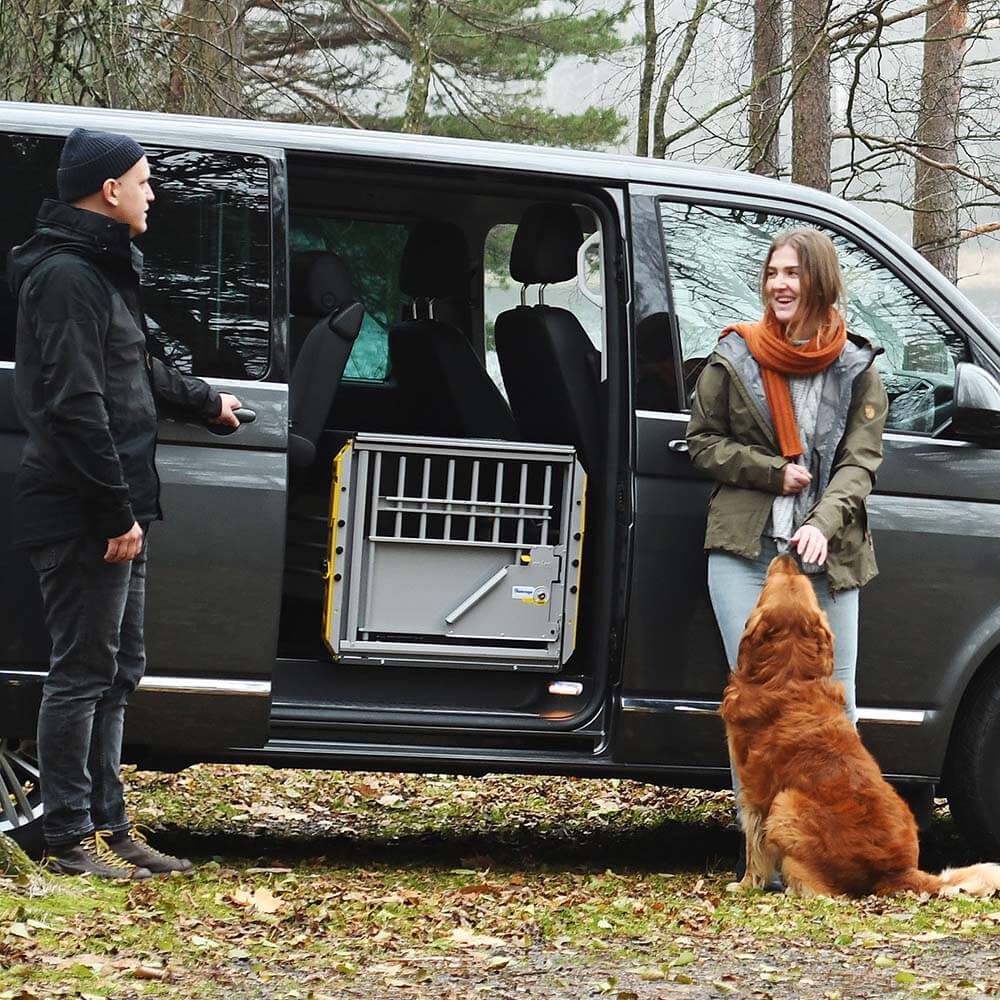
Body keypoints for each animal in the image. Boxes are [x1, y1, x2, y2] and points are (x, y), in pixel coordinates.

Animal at [724, 556, 996, 900]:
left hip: (784, 805)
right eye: (797, 580)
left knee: (821, 891)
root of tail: (899, 871)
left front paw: (746, 883)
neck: (789, 675)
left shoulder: (754, 793)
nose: (789, 557)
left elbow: (753, 847)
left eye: (778, 580)